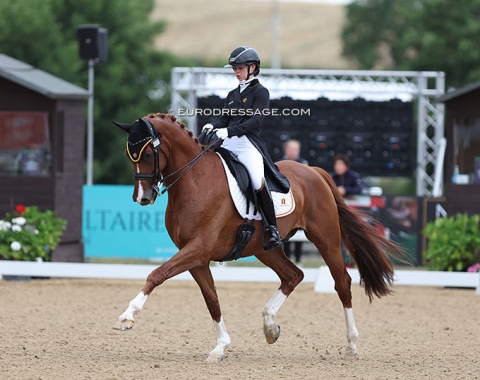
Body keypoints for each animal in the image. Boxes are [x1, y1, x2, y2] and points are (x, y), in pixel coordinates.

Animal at [112, 113, 402, 362]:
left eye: (147, 153)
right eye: (130, 155)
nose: (142, 198)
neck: (195, 180)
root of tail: (314, 172)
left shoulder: (197, 249)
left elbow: (157, 274)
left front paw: (127, 316)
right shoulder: (197, 257)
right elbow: (211, 299)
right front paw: (221, 347)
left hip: (326, 239)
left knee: (342, 282)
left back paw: (352, 344)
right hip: (265, 249)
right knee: (293, 275)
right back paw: (270, 326)